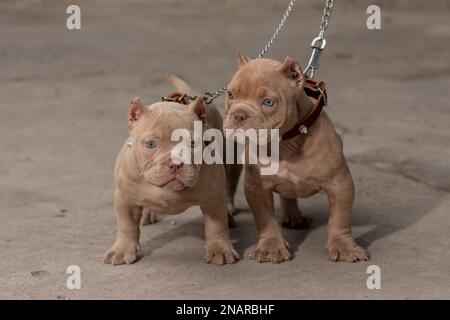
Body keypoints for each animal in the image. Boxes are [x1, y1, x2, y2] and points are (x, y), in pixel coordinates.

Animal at [104, 84, 239, 264]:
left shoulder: (214, 198)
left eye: (193, 143)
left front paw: (220, 250)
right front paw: (121, 250)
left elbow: (217, 226)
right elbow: (126, 225)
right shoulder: (125, 199)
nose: (175, 163)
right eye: (151, 144)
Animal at [224, 53, 370, 262]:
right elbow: (265, 220)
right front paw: (271, 247)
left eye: (268, 102)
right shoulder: (256, 188)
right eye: (230, 95)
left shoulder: (340, 183)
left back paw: (294, 216)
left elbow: (340, 218)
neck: (286, 143)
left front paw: (344, 246)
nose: (238, 115)